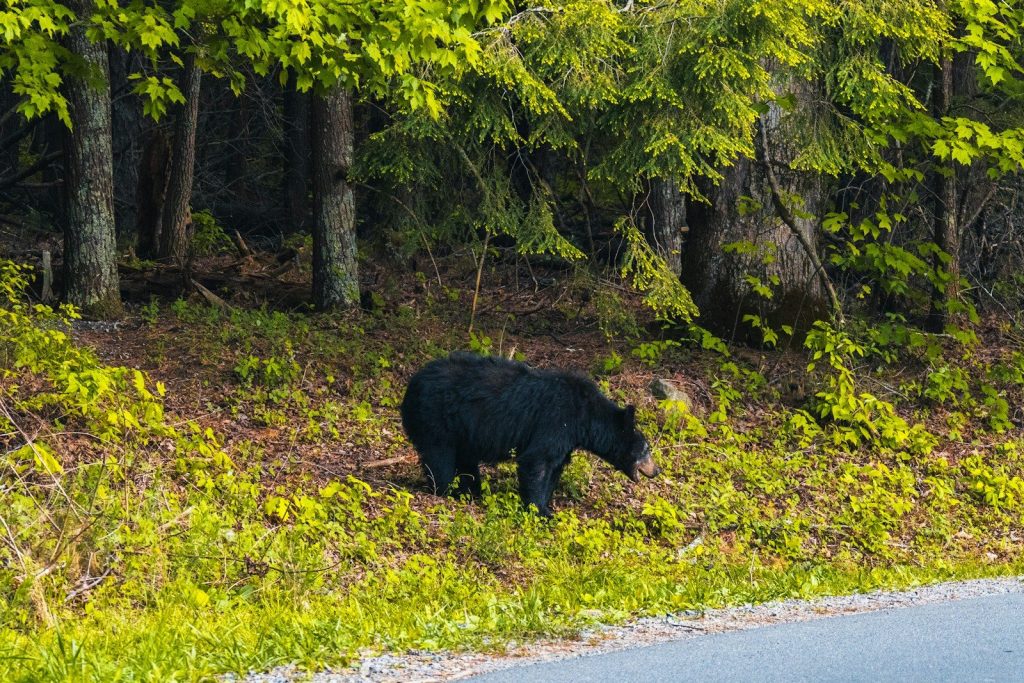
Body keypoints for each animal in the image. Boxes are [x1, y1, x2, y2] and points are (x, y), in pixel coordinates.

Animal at [400, 352, 660, 516]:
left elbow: (554, 467)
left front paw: (546, 505)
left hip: (462, 429)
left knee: (466, 461)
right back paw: (447, 491)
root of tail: (411, 385)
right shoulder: (556, 420)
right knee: (439, 457)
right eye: (646, 449)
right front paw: (541, 511)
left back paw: (471, 491)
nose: (656, 470)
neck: (586, 417)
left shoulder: (567, 438)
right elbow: (537, 461)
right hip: (435, 418)